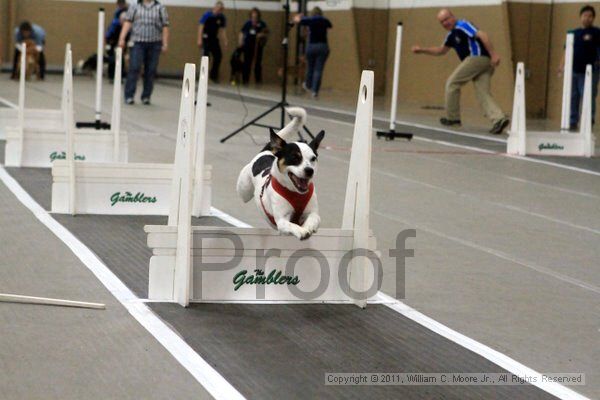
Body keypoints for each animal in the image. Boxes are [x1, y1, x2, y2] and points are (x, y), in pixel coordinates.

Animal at [237, 108, 326, 241]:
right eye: (295, 158)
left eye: (313, 158)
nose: (310, 170)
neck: (295, 193)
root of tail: (266, 152)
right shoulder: (282, 220)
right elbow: (291, 224)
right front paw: (301, 231)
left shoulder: (313, 213)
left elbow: (312, 219)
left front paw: (308, 228)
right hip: (244, 191)